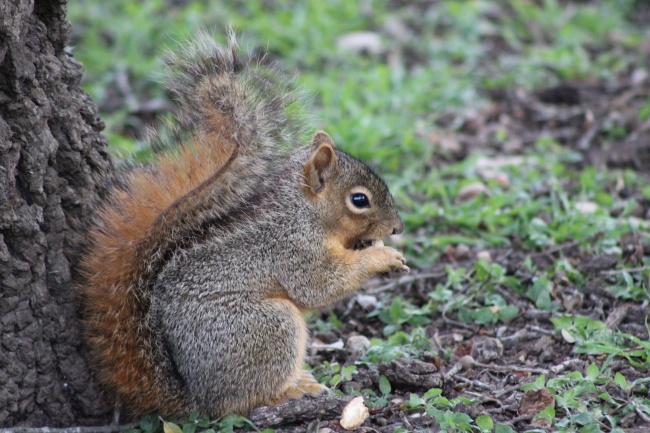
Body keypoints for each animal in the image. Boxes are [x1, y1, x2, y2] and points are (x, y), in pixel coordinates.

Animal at [78, 32, 408, 416]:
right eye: (359, 200)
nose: (396, 228)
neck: (304, 211)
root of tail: (194, 397)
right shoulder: (293, 248)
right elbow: (319, 285)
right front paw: (382, 257)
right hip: (267, 327)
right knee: (238, 400)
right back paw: (290, 391)